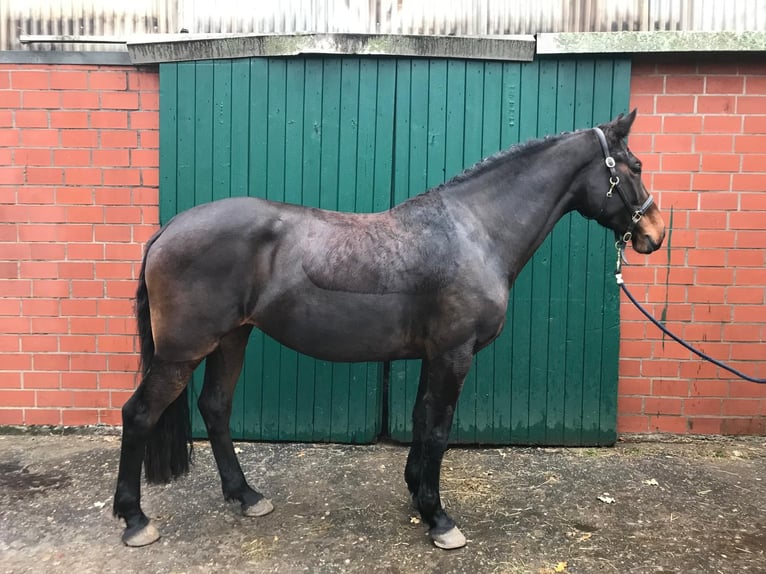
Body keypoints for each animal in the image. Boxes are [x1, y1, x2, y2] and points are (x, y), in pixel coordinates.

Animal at [113, 110, 665, 550]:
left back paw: (246, 496)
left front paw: (418, 497)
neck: (474, 231)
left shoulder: (433, 355)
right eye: (635, 166)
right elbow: (439, 429)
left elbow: (421, 421)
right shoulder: (454, 354)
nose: (654, 233)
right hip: (183, 351)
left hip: (231, 339)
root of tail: (168, 230)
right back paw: (135, 519)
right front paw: (440, 519)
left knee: (215, 408)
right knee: (138, 415)